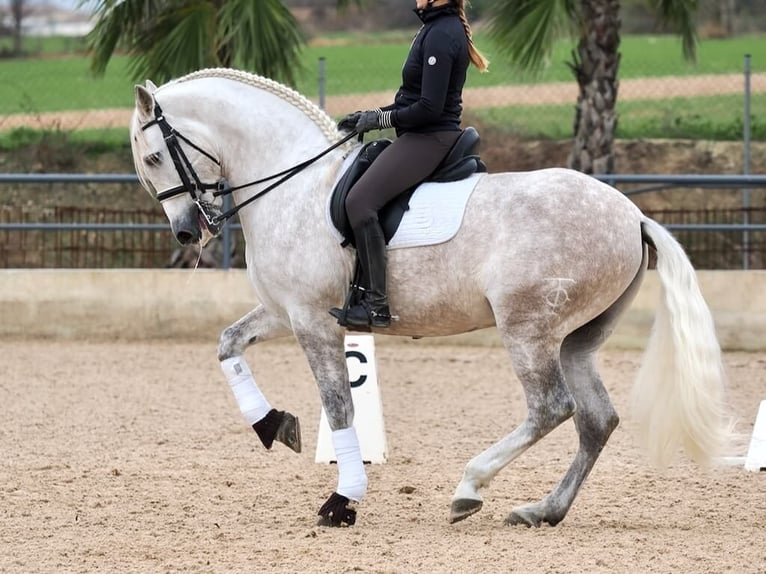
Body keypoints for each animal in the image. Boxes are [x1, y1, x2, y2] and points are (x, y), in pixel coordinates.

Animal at [130, 68, 732, 532]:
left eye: (156, 157)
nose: (187, 233)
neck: (295, 188)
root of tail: (632, 215)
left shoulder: (313, 322)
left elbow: (340, 406)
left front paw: (342, 501)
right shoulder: (286, 312)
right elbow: (227, 344)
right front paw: (272, 425)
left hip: (528, 329)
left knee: (551, 408)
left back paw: (470, 487)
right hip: (577, 339)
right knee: (596, 419)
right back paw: (543, 510)